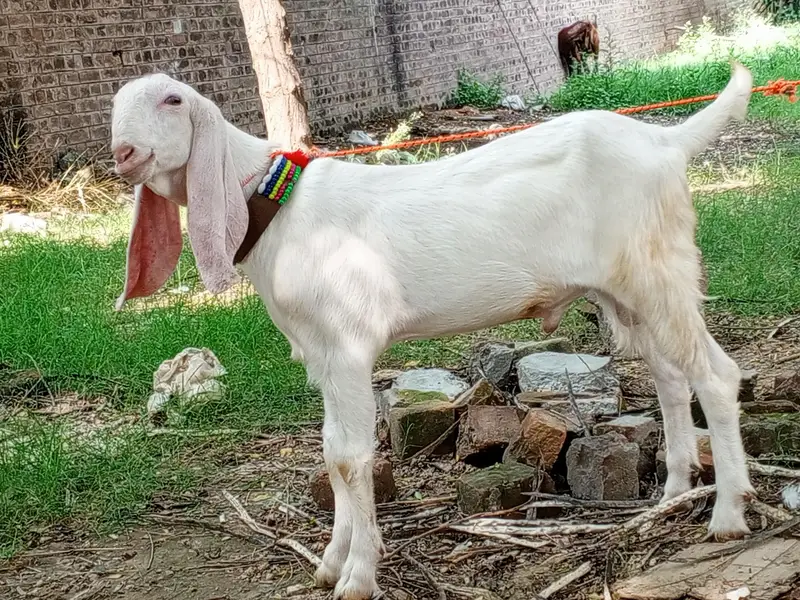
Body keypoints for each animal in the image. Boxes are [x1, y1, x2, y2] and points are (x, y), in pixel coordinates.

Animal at [110, 63, 755, 599]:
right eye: (115, 107)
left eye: (172, 99)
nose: (123, 152)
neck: (277, 209)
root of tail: (666, 142)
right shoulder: (321, 354)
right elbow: (330, 451)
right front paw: (331, 561)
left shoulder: (348, 346)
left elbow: (349, 458)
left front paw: (358, 577)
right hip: (627, 291)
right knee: (671, 375)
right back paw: (672, 494)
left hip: (659, 270)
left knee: (717, 375)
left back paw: (727, 514)